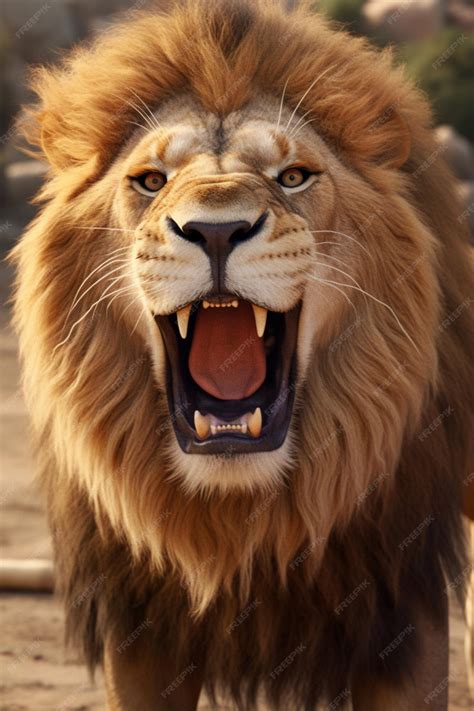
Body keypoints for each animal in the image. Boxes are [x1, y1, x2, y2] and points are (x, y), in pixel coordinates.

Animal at [11, 0, 474, 709]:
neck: (238, 515)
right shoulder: (138, 627)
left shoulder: (402, 600)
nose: (217, 230)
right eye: (151, 180)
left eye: (293, 176)